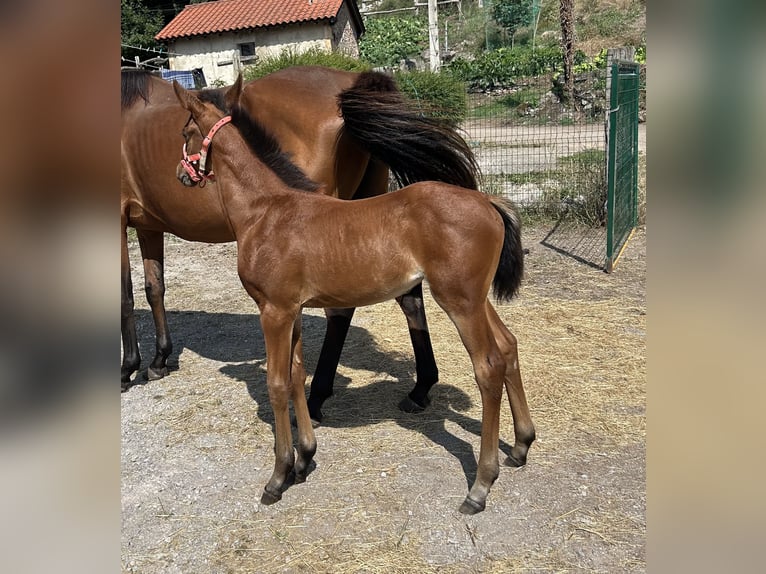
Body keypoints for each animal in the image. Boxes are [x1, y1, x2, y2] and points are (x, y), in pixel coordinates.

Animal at [121, 66, 480, 424]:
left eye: (185, 132)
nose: (180, 173)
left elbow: (126, 296)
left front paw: (128, 369)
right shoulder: (148, 224)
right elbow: (154, 287)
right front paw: (159, 360)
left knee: (343, 309)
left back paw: (318, 396)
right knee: (409, 295)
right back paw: (420, 389)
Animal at [171, 76, 536, 514]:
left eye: (186, 132)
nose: (180, 175)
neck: (266, 210)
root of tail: (487, 200)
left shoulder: (273, 311)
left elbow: (276, 383)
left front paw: (278, 476)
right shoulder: (292, 310)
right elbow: (297, 375)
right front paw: (305, 459)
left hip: (460, 302)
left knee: (488, 367)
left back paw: (480, 486)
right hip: (476, 299)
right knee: (510, 345)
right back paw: (521, 445)